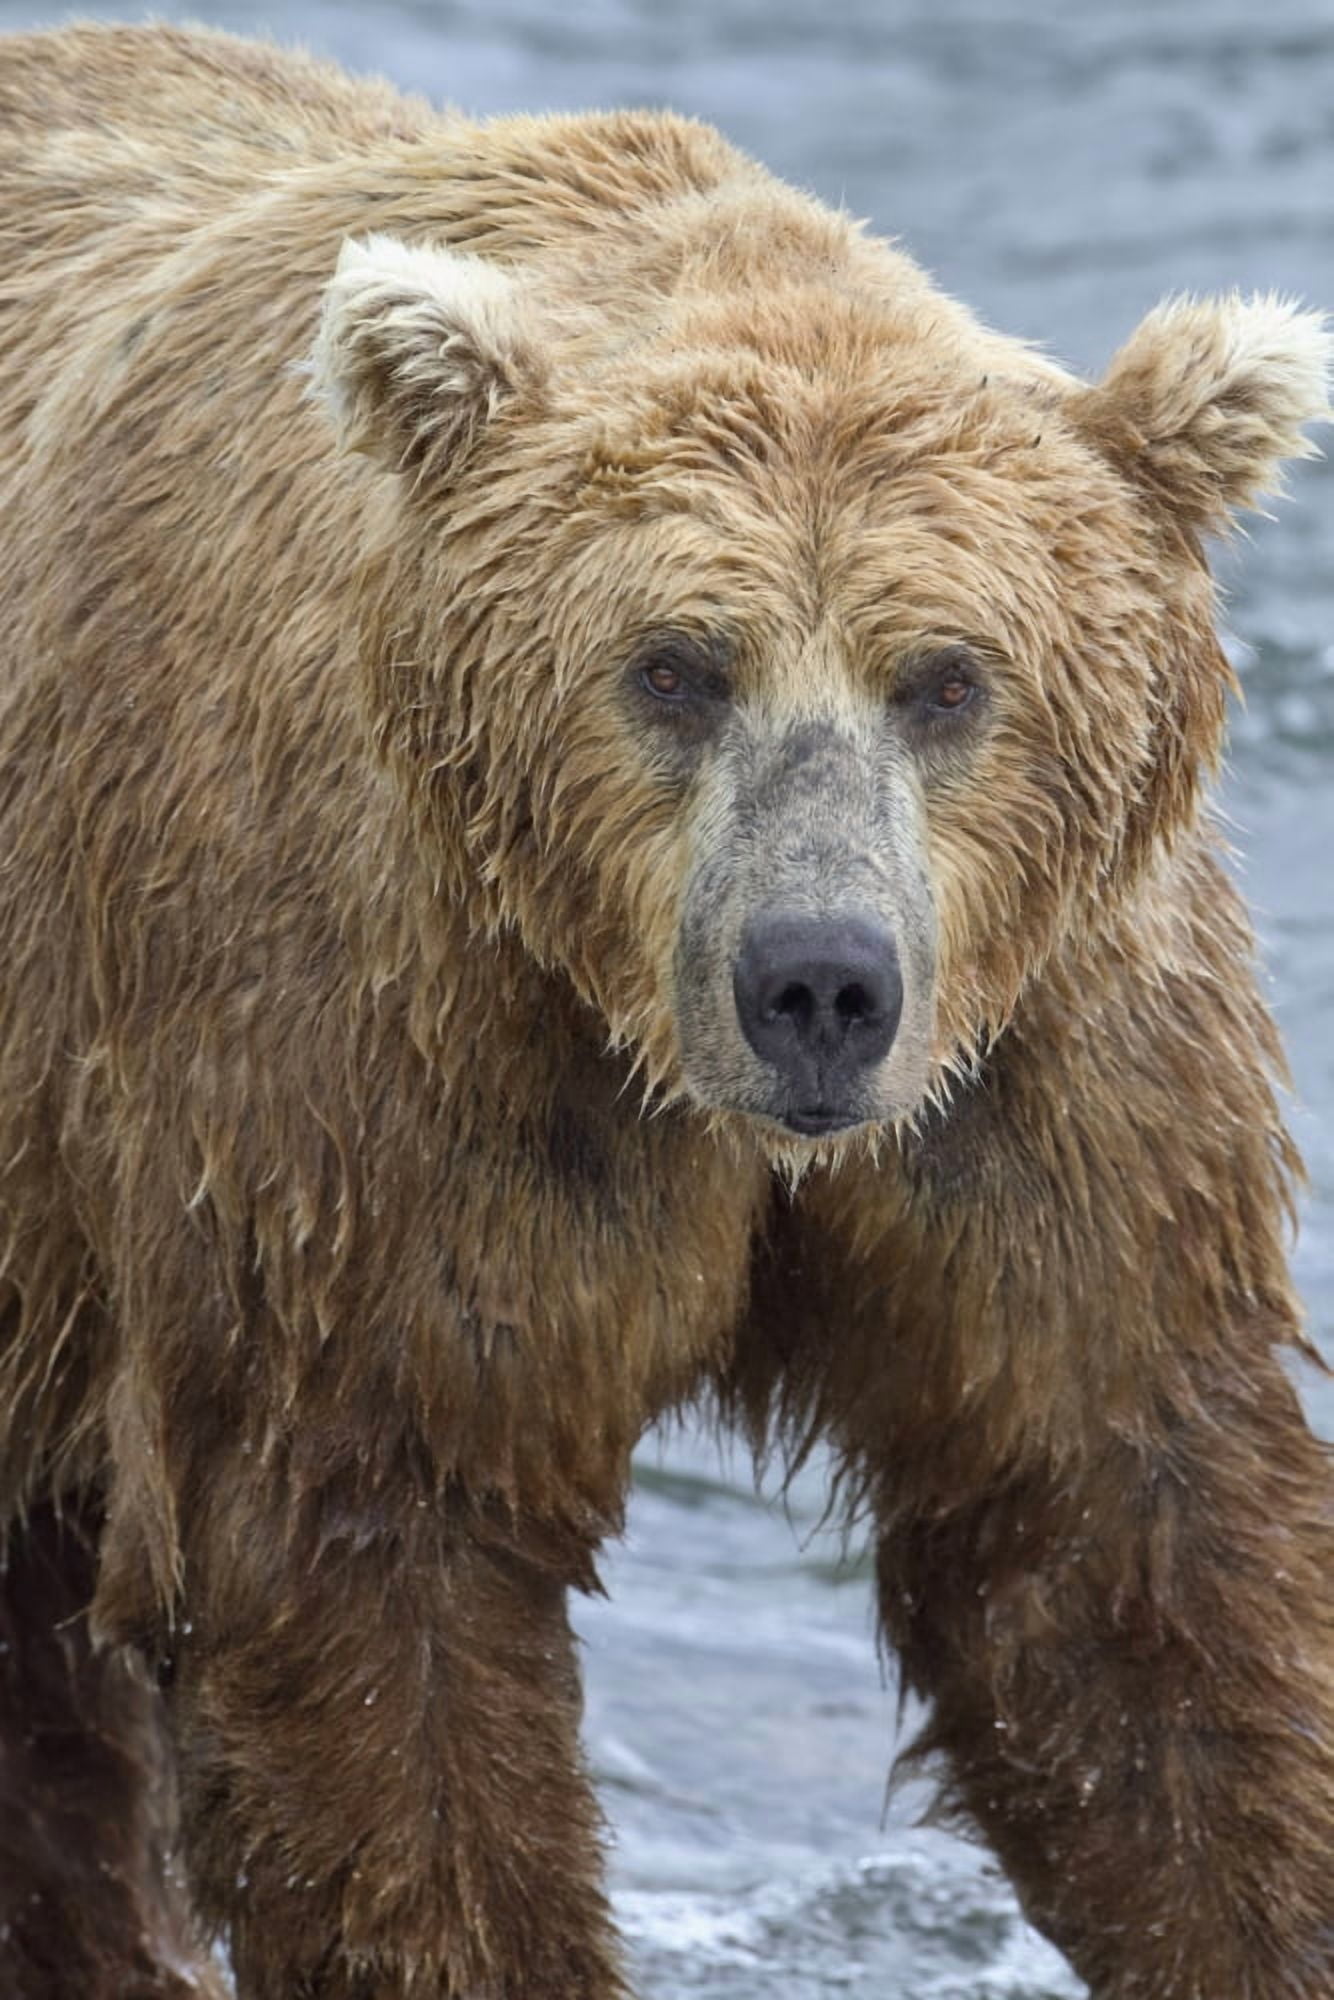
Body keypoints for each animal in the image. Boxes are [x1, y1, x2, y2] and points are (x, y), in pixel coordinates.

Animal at [0, 20, 1330, 1999]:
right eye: (674, 669)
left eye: (947, 679)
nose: (816, 982)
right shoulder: (359, 1060)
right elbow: (382, 1605)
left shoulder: (1049, 1068)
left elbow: (1115, 1567)